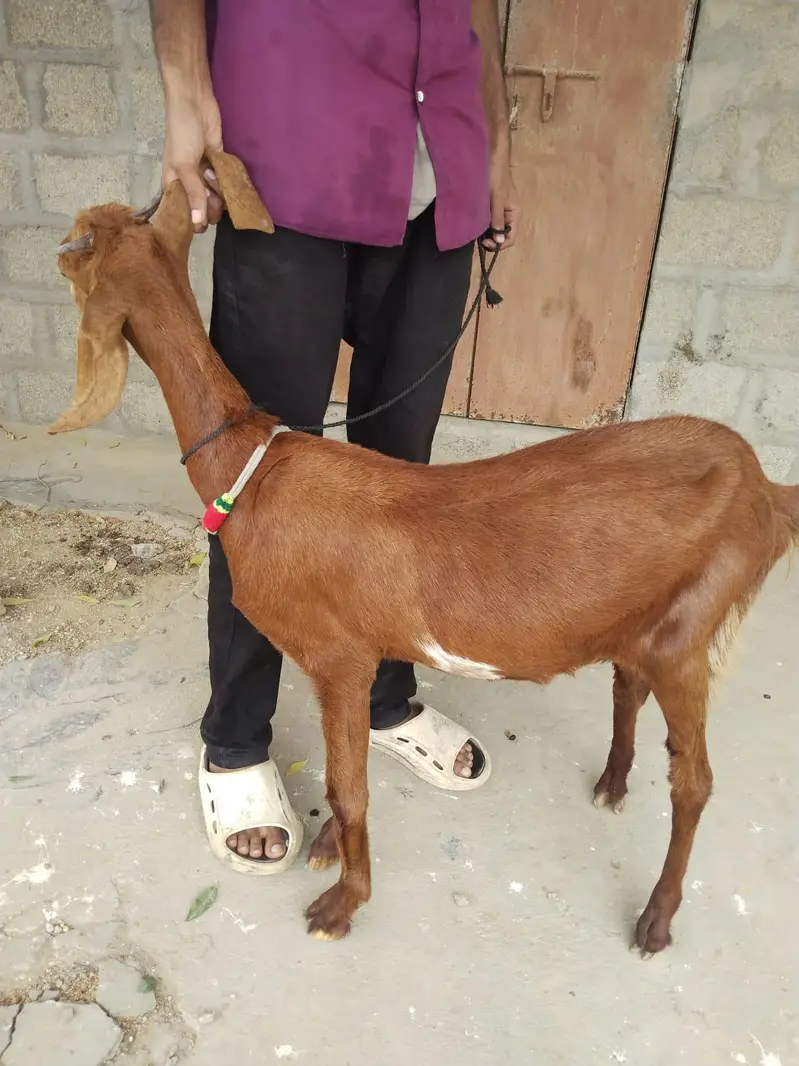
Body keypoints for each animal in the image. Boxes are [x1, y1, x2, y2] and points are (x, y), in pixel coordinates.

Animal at [51, 157, 799, 953]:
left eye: (84, 245)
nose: (57, 245)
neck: (251, 467)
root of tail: (764, 486)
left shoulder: (339, 654)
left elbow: (349, 788)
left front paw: (342, 901)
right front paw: (327, 851)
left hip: (693, 621)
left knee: (694, 779)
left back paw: (656, 916)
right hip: (643, 615)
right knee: (628, 684)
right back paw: (613, 783)